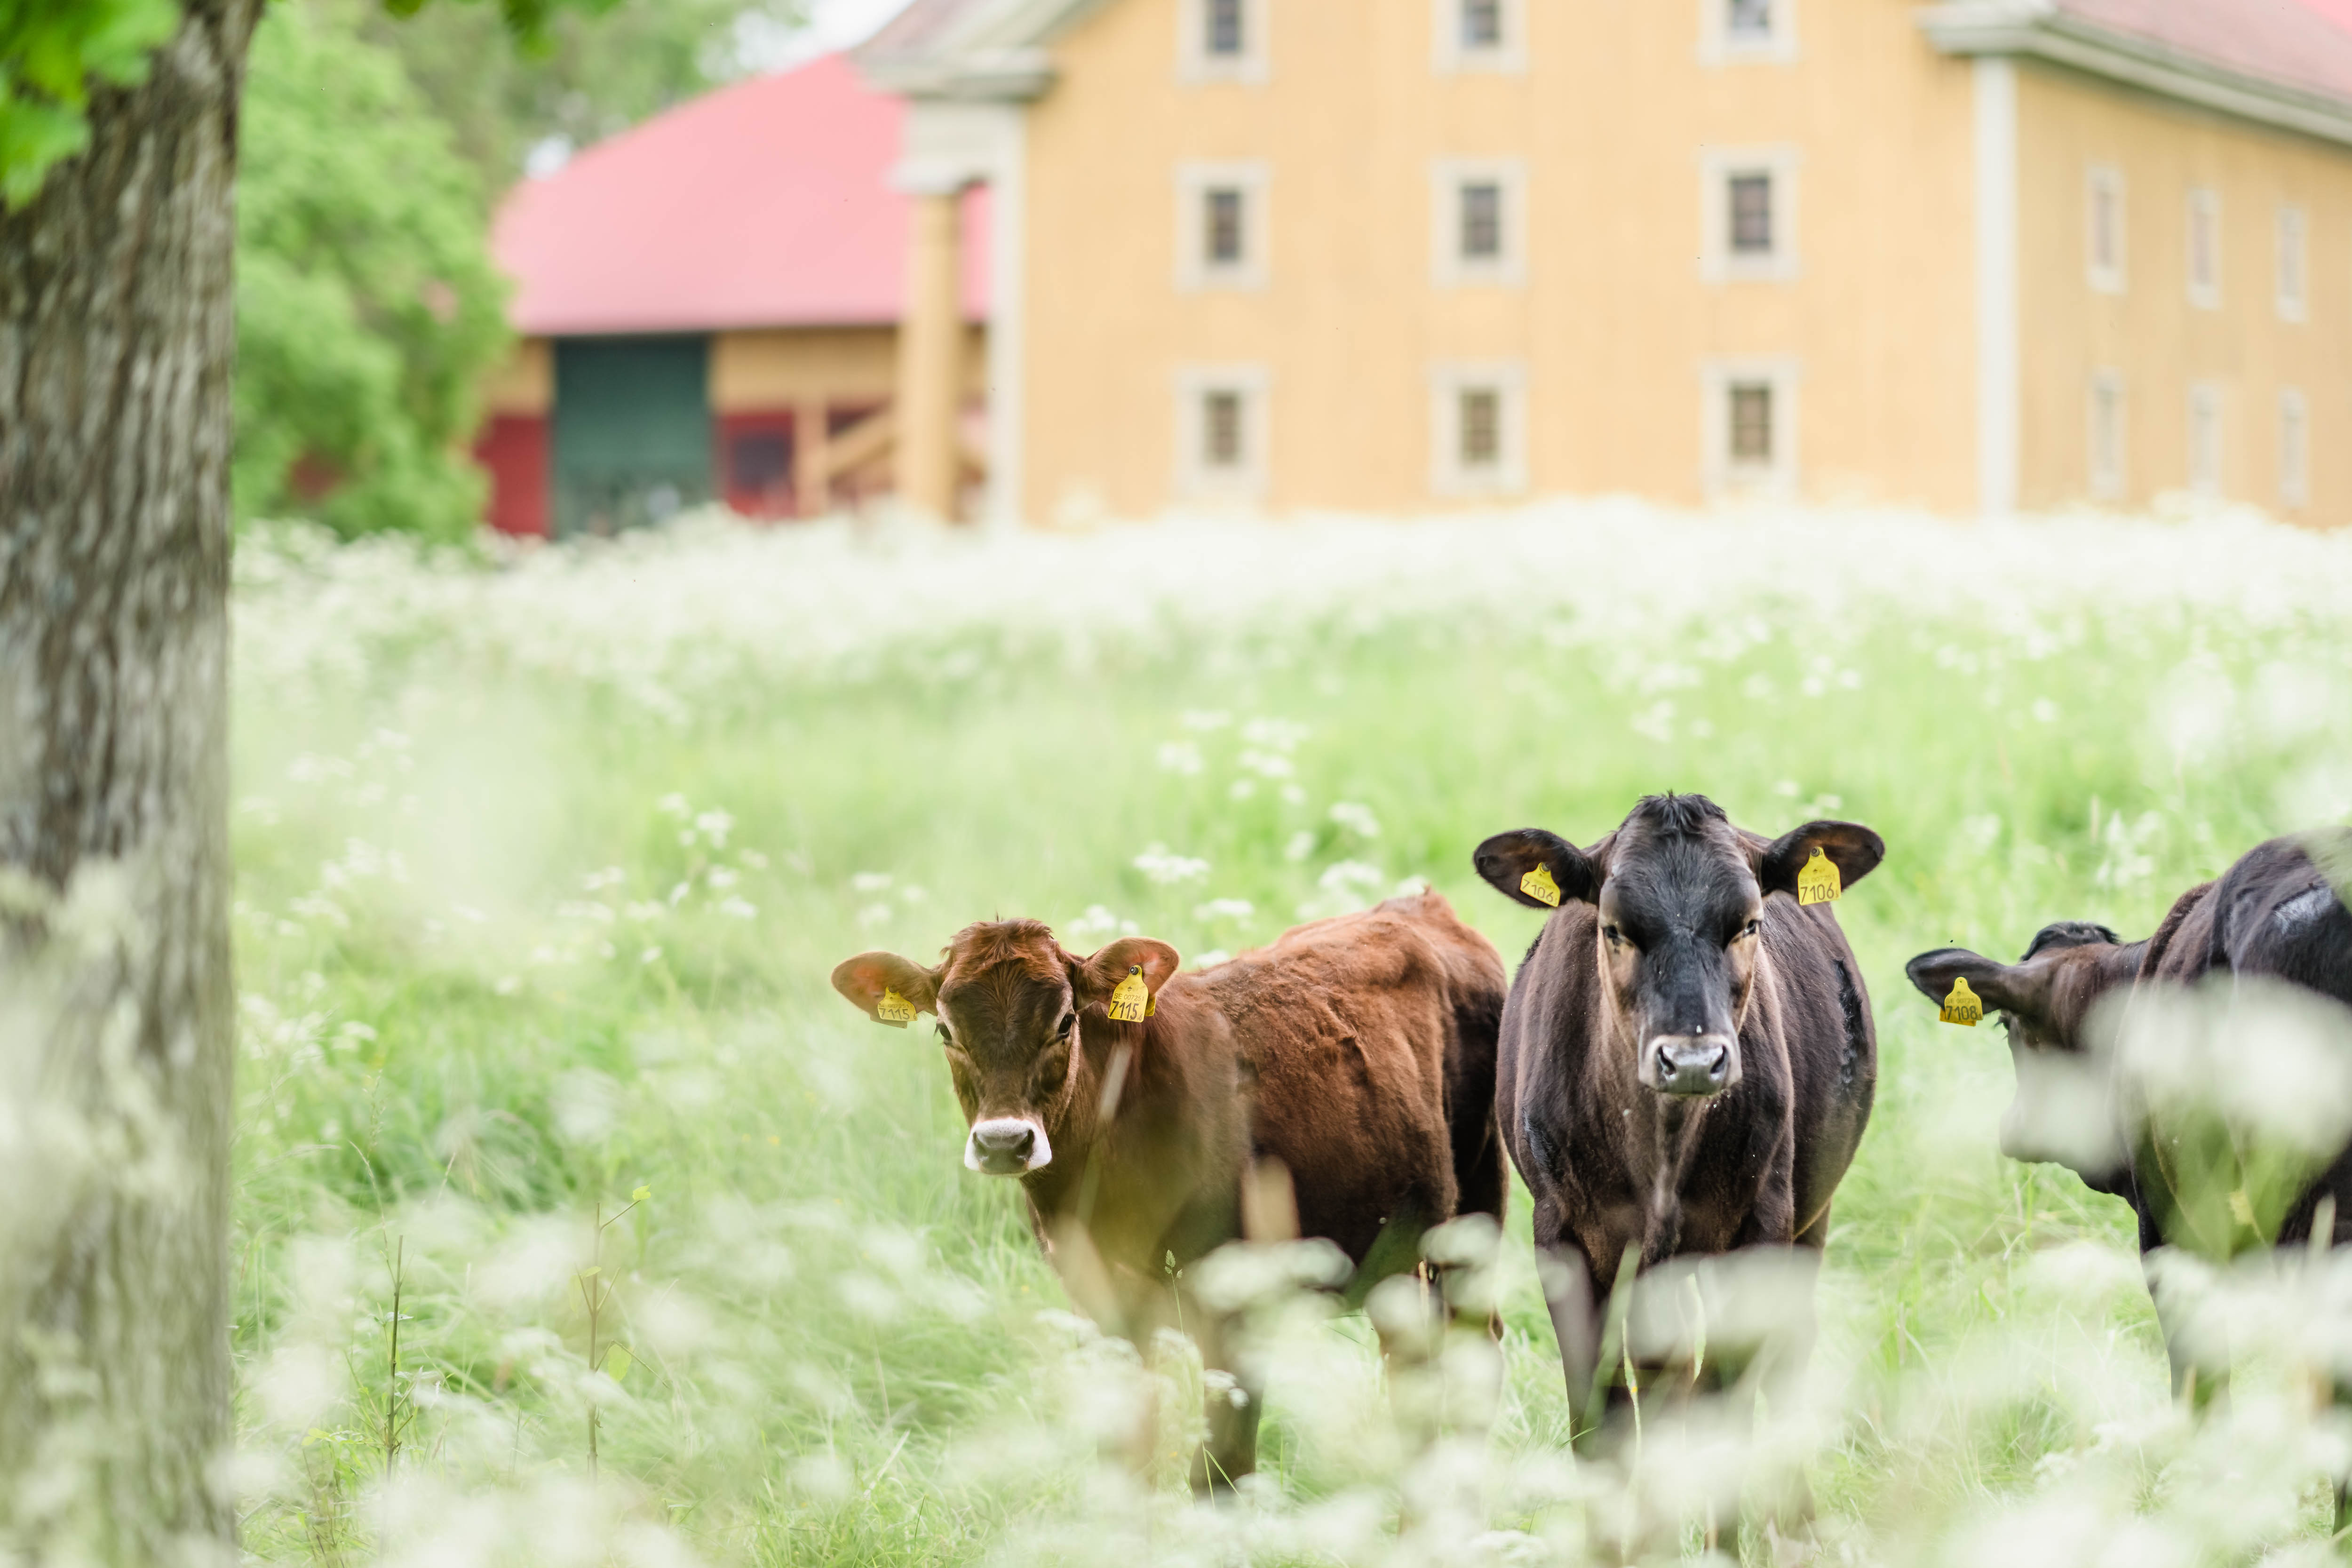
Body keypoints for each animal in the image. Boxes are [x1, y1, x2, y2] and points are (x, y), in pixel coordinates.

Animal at [831, 889, 1508, 1492]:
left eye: (1065, 1022)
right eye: (946, 1031)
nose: (1004, 1142)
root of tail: (1420, 905)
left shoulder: (1234, 1307)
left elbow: (1220, 1474)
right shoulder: (1099, 1303)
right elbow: (1127, 1461)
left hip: (1472, 1215)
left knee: (1470, 1357)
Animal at [1472, 794, 1884, 1428]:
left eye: (1749, 923)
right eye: (1613, 929)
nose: (1691, 1062)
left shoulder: (1762, 1227)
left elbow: (1720, 1403)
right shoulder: (1563, 1236)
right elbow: (1602, 1411)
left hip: (1808, 1218)